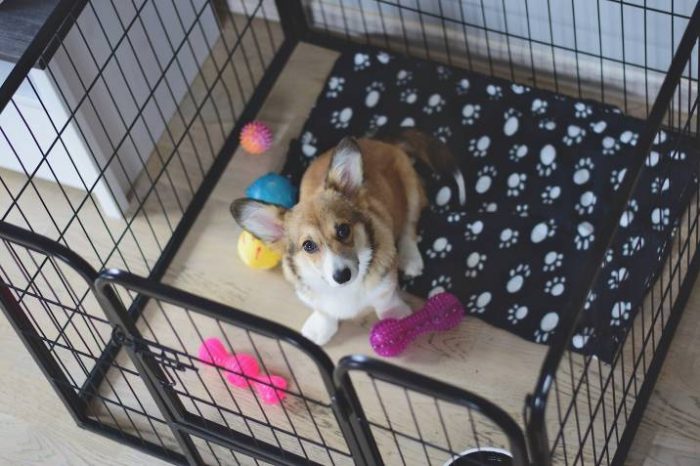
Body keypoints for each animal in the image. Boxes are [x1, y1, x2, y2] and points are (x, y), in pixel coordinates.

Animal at [232, 129, 464, 344]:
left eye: (343, 230)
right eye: (308, 246)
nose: (342, 275)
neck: (344, 290)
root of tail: (378, 140)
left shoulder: (385, 280)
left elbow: (385, 299)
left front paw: (396, 315)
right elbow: (324, 311)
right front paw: (319, 329)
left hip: (411, 188)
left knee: (409, 226)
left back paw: (411, 258)